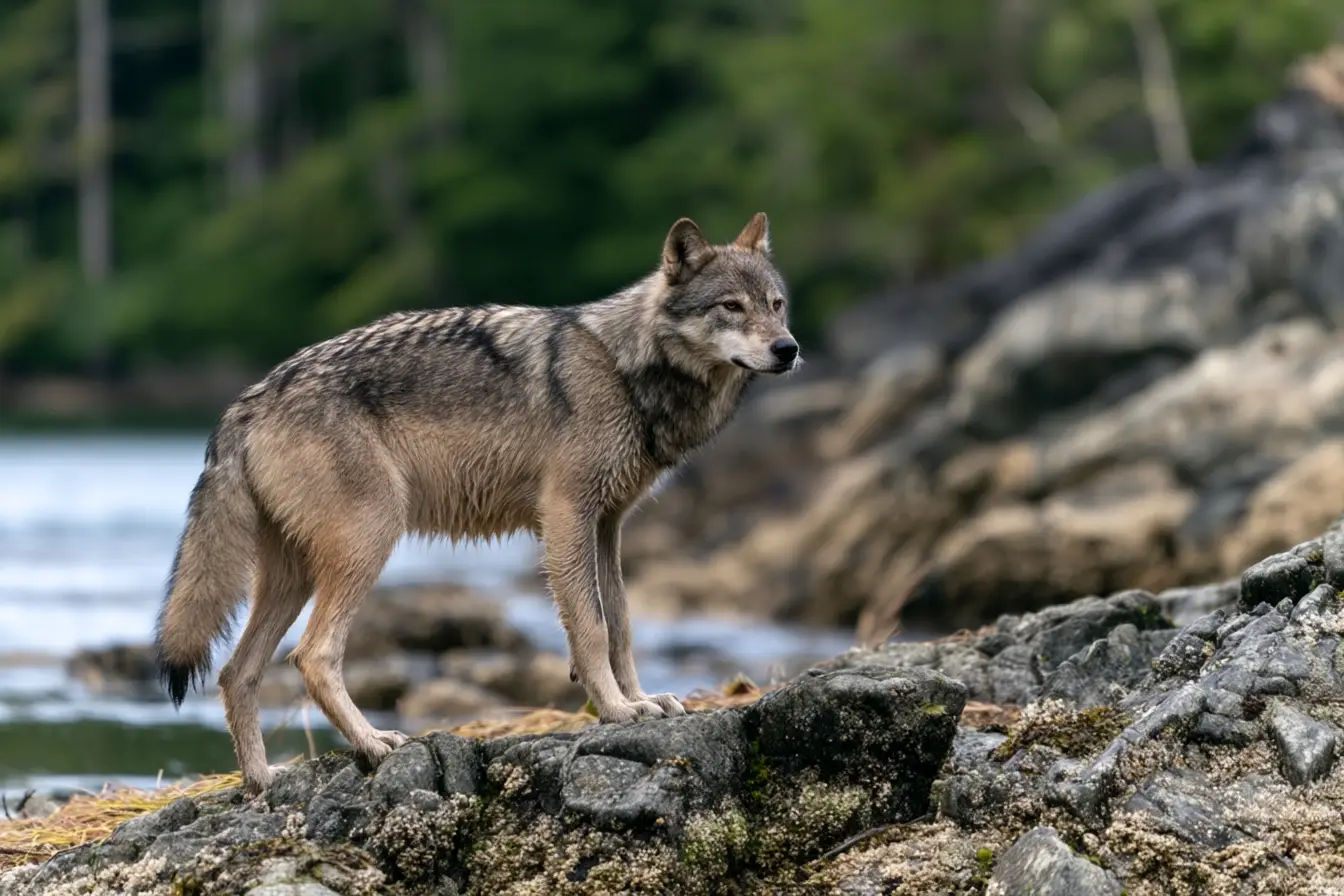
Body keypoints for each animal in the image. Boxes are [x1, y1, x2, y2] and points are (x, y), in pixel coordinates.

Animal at [152, 213, 799, 794]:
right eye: (731, 307)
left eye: (776, 304)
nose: (789, 349)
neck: (627, 368)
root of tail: (248, 401)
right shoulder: (565, 516)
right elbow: (589, 629)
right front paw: (616, 711)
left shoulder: (609, 524)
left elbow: (621, 624)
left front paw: (640, 700)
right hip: (370, 539)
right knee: (312, 656)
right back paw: (373, 744)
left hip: (293, 576)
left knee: (236, 673)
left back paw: (261, 781)